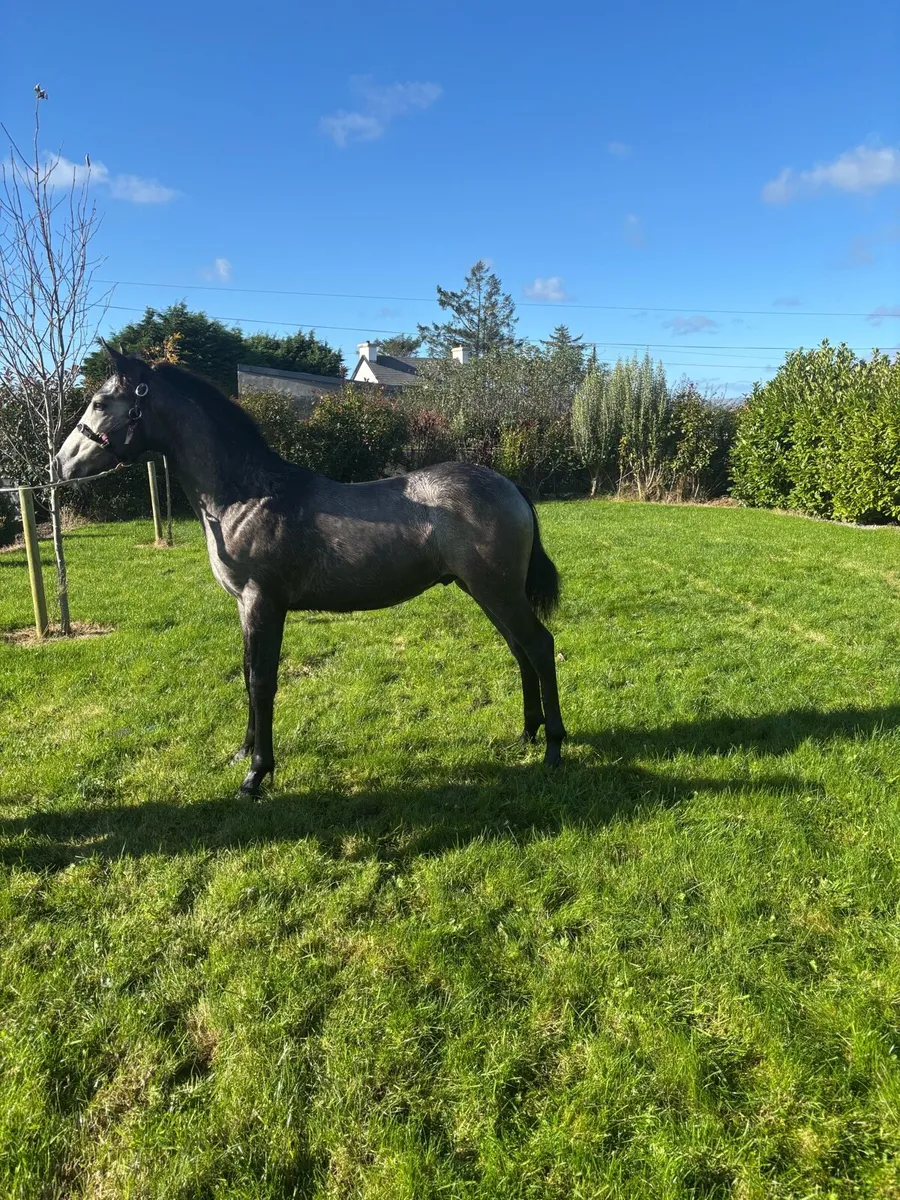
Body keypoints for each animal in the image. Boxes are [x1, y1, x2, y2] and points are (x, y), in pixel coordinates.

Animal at [55, 343, 567, 795]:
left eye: (100, 402)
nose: (60, 463)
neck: (246, 497)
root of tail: (509, 486)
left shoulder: (265, 603)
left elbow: (262, 681)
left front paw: (256, 775)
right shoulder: (245, 607)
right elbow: (247, 674)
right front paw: (242, 753)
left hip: (496, 590)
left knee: (540, 646)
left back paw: (554, 748)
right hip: (483, 590)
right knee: (519, 649)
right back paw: (527, 733)